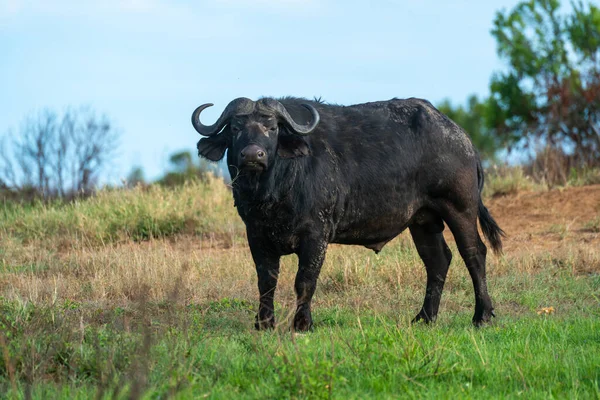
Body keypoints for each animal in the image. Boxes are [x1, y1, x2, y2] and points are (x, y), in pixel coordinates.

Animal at [192, 97, 502, 332]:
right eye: (235, 128)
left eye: (271, 128)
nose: (252, 155)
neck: (274, 191)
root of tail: (462, 138)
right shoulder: (256, 235)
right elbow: (266, 282)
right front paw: (264, 323)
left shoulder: (315, 236)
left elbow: (304, 280)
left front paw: (302, 323)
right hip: (423, 220)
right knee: (437, 260)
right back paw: (424, 318)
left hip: (460, 208)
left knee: (474, 253)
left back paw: (482, 316)